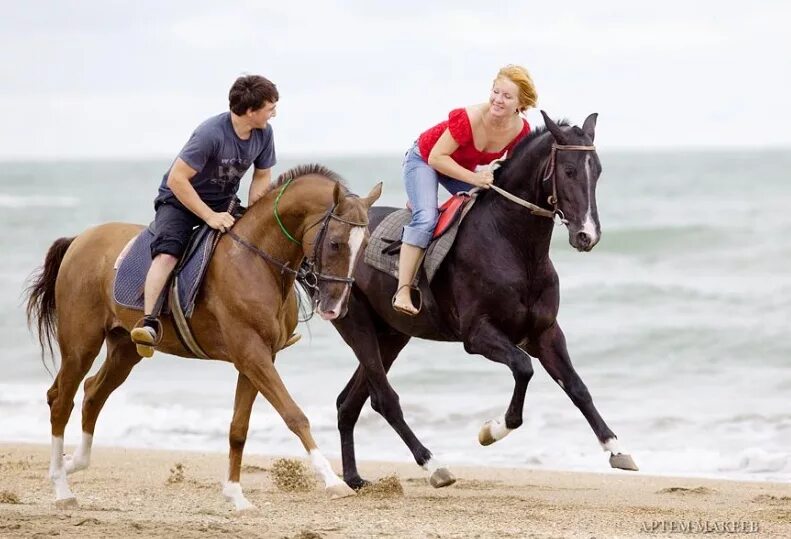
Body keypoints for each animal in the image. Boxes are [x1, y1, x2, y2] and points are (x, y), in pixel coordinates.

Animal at [25, 165, 384, 510]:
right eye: (335, 243)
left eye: (364, 246)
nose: (335, 307)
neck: (255, 260)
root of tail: (80, 239)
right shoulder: (252, 354)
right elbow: (294, 415)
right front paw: (333, 482)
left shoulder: (257, 358)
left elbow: (239, 428)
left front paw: (236, 495)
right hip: (81, 344)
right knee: (62, 399)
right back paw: (61, 486)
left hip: (125, 348)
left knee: (92, 393)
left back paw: (73, 463)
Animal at [328, 112, 636, 488]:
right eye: (569, 171)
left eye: (598, 170)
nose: (587, 236)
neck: (511, 245)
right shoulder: (478, 336)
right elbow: (523, 368)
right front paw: (492, 430)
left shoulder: (545, 332)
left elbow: (577, 387)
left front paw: (616, 448)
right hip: (355, 323)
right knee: (384, 400)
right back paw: (434, 466)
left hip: (390, 335)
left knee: (349, 403)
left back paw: (354, 478)